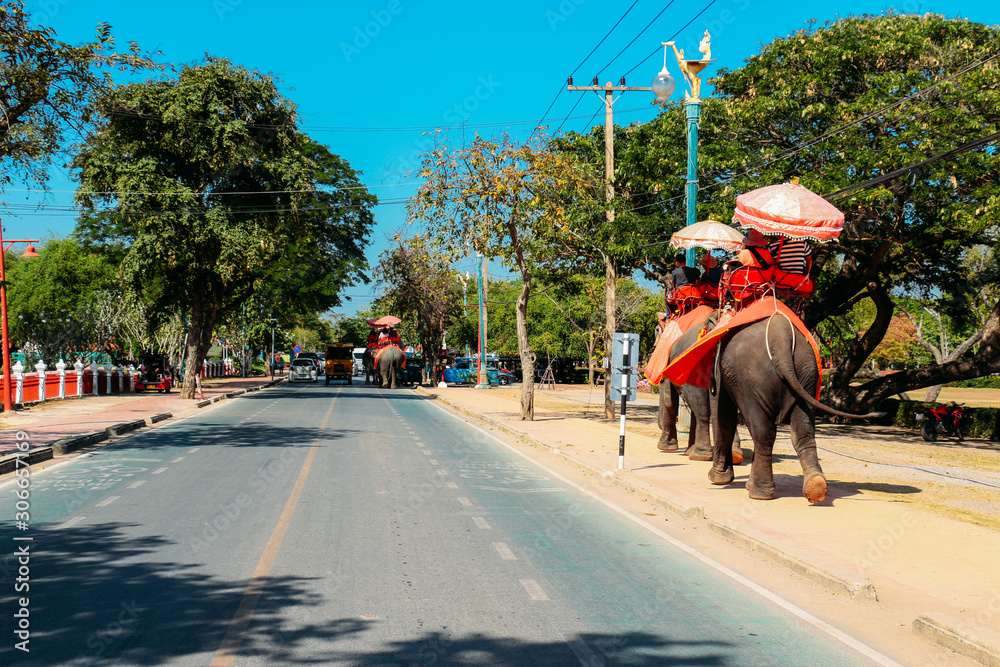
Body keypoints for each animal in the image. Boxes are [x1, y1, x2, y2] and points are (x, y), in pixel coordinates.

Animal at [708, 316, 880, 504]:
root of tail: (782, 340)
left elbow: (723, 417)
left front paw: (717, 479)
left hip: (750, 379)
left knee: (762, 432)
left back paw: (759, 494)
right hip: (807, 373)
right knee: (803, 431)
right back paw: (816, 487)